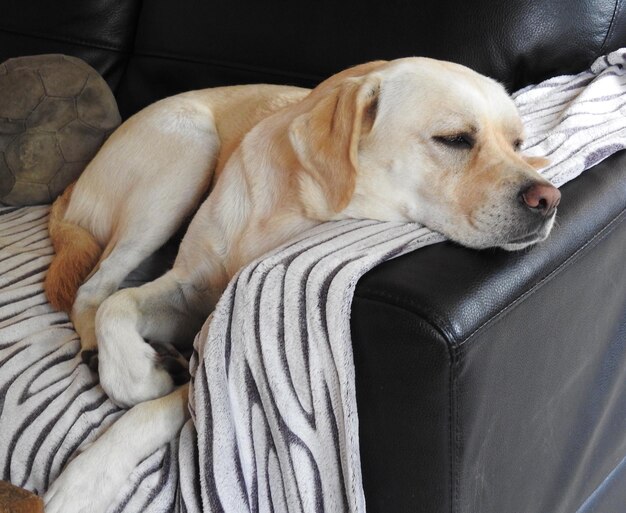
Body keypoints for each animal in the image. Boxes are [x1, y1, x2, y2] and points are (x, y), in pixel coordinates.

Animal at [45, 58, 560, 510]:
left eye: (518, 143)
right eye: (454, 139)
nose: (549, 199)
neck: (289, 214)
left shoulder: (209, 345)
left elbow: (153, 391)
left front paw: (91, 472)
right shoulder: (188, 287)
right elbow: (118, 309)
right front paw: (136, 381)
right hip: (185, 156)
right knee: (95, 288)